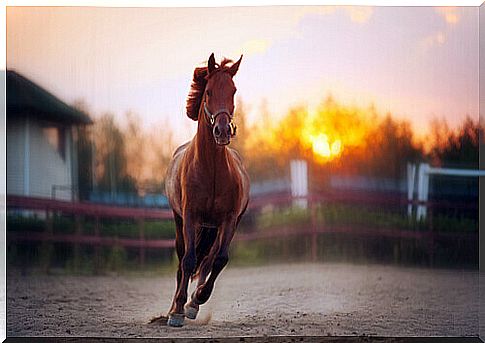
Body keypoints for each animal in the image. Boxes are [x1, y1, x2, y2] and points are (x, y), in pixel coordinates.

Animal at [165, 53, 250, 328]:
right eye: (209, 91)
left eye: (233, 91)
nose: (222, 131)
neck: (211, 168)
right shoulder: (190, 217)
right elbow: (189, 260)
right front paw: (177, 312)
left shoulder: (229, 220)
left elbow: (219, 260)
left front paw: (196, 301)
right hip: (179, 221)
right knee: (183, 262)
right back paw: (174, 307)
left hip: (216, 227)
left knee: (209, 260)